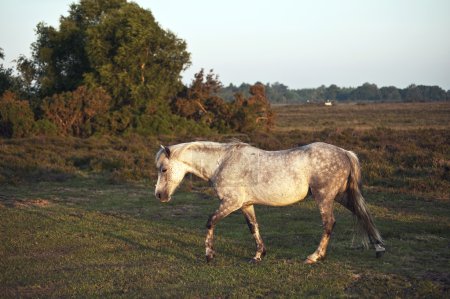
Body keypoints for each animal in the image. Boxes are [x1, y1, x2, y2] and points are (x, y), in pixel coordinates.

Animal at [154, 142, 384, 264]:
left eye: (163, 169)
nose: (159, 195)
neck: (222, 162)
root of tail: (345, 152)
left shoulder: (231, 203)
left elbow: (210, 221)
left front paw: (209, 255)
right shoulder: (245, 205)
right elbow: (253, 227)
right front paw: (258, 255)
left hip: (324, 196)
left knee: (329, 223)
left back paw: (314, 256)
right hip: (342, 195)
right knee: (363, 214)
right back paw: (379, 248)